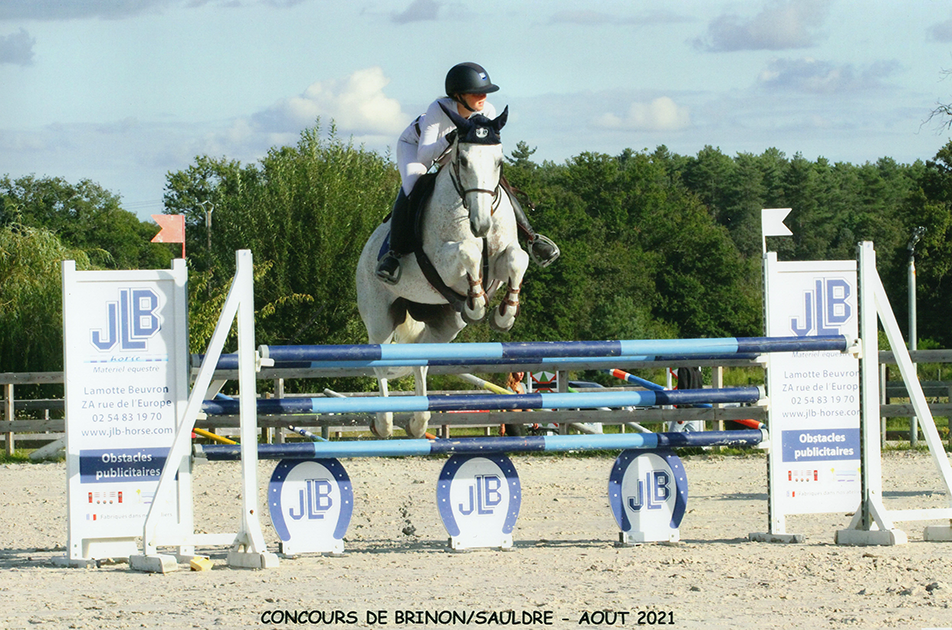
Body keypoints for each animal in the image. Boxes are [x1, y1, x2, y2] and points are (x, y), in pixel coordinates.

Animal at [356, 106, 528, 440]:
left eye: (499, 161)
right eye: (463, 160)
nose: (481, 225)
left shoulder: (502, 261)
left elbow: (518, 258)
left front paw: (504, 314)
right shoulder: (444, 264)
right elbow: (468, 252)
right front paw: (478, 304)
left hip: (445, 324)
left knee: (419, 357)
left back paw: (418, 422)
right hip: (380, 315)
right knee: (381, 361)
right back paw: (384, 423)